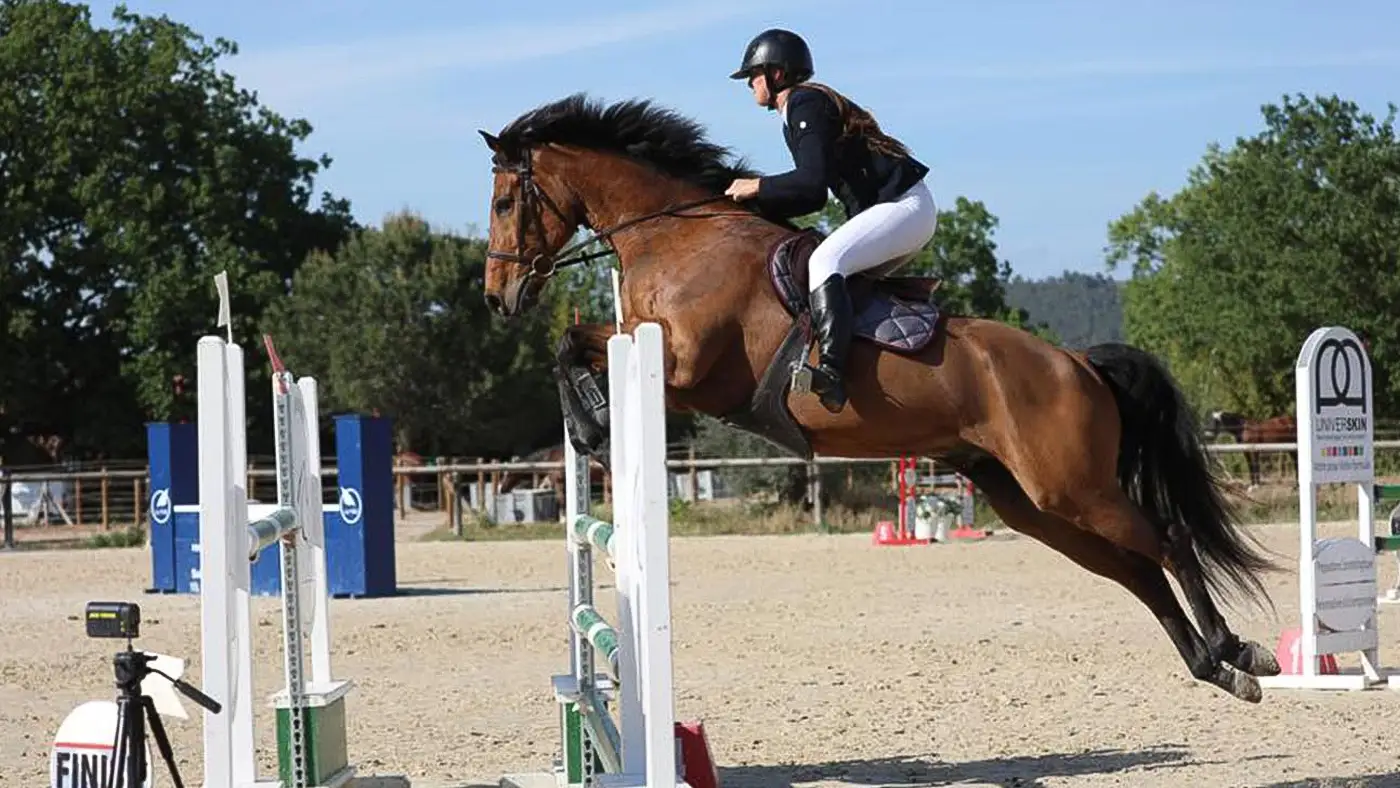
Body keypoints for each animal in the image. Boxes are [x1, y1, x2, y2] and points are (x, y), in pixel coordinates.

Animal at [475, 93, 1282, 703]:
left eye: (507, 201)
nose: (497, 298)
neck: (679, 239)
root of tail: (1077, 363)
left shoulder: (688, 371)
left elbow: (574, 345)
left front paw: (591, 423)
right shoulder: (646, 345)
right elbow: (570, 342)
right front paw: (587, 424)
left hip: (1073, 486)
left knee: (1167, 541)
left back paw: (1240, 650)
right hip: (1033, 502)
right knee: (1136, 569)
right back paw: (1215, 667)